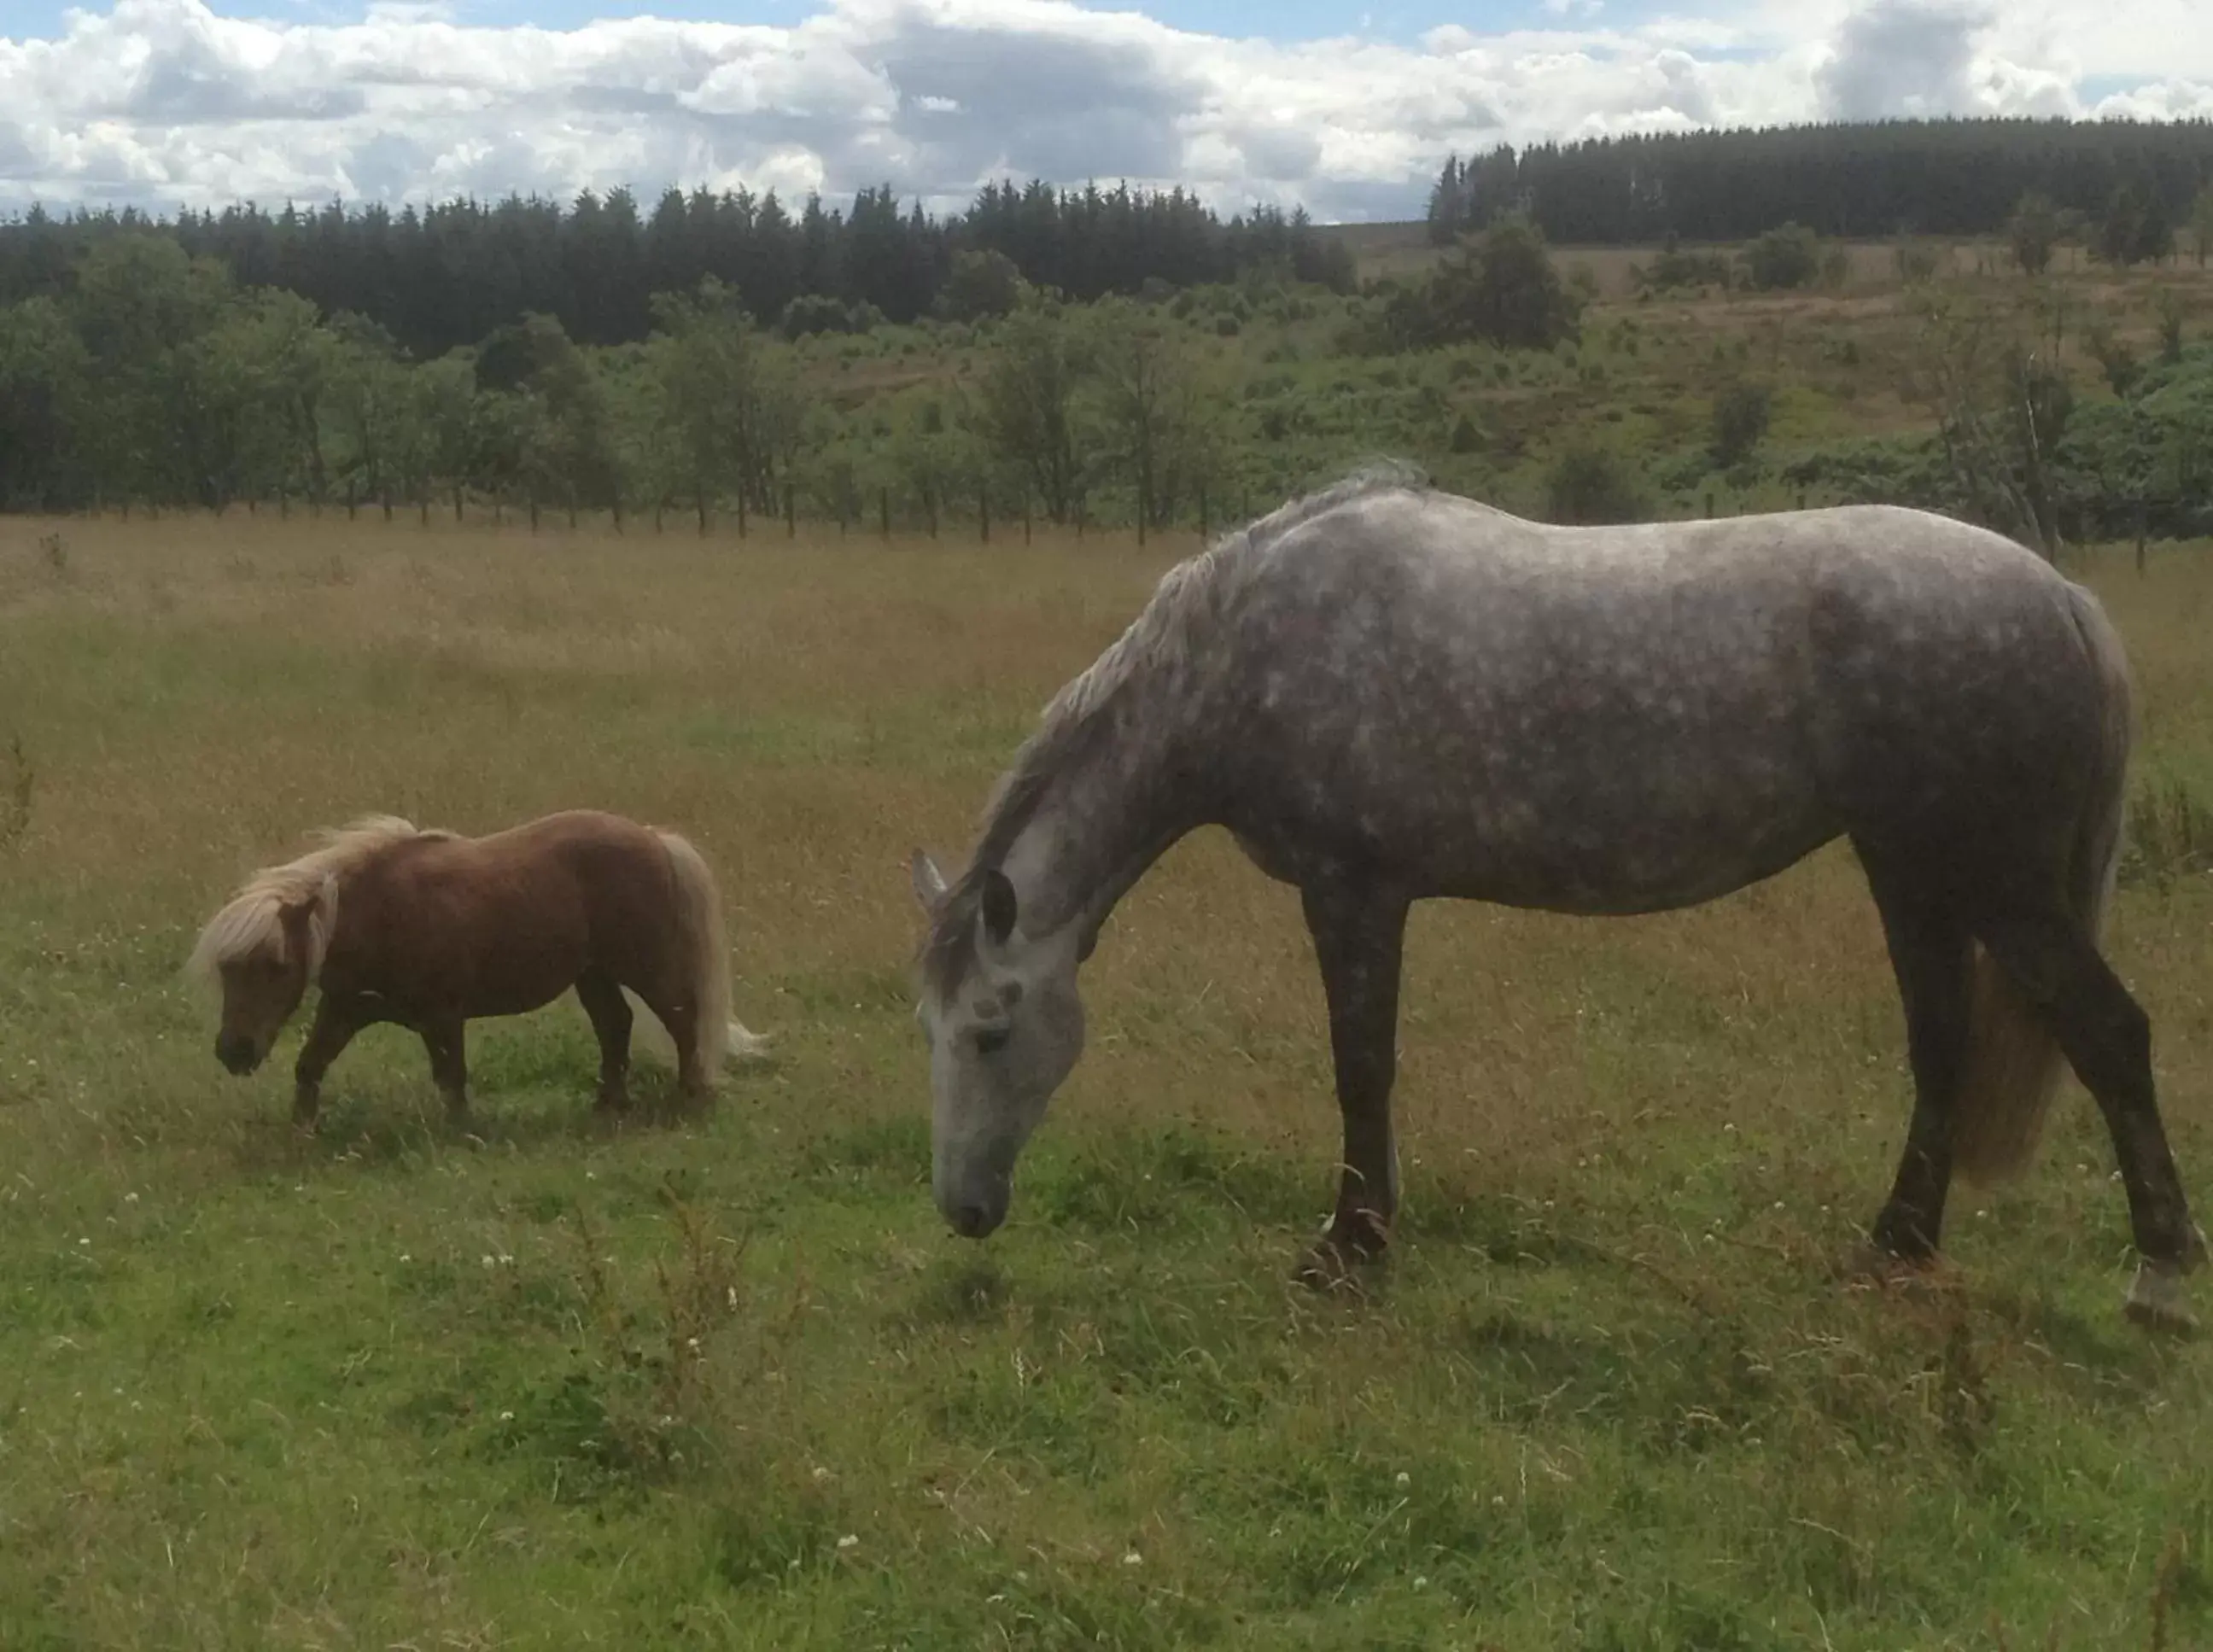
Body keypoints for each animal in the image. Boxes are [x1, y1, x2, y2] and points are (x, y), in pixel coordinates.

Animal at [185, 809, 770, 1132]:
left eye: (276, 965)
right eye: (227, 970)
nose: (234, 1051)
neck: (379, 912)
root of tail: (653, 837)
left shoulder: (443, 1018)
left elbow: (453, 1079)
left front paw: (460, 1133)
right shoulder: (345, 1009)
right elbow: (310, 1066)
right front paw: (302, 1130)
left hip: (644, 966)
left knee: (683, 1020)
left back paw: (689, 1097)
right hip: (594, 975)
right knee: (616, 1027)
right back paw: (608, 1105)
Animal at [907, 462, 2204, 1327]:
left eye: (991, 1030)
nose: (961, 1210)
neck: (1250, 654)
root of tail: (2060, 596)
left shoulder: (1353, 891)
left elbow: (1361, 1069)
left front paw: (1349, 1249)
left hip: (1995, 884)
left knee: (2110, 1035)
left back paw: (2158, 1276)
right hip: (1912, 872)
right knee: (1942, 1050)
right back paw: (1893, 1250)